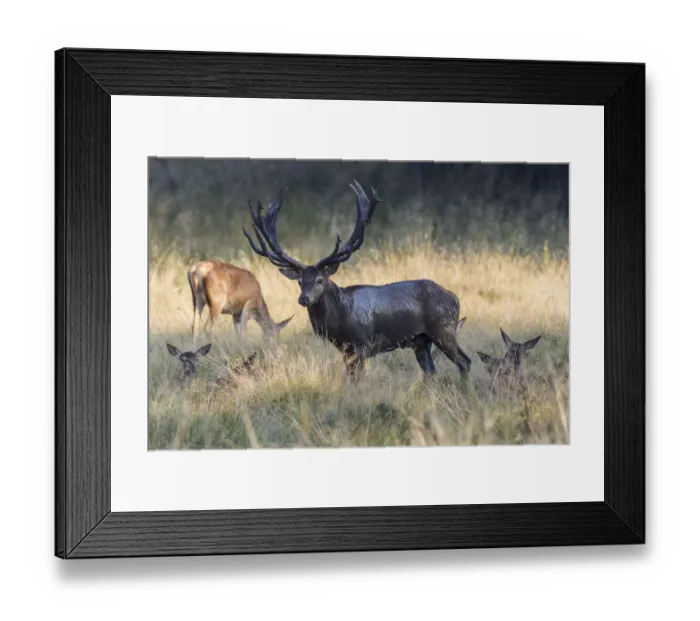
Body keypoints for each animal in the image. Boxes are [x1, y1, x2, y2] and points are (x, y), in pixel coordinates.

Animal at [242, 180, 472, 381]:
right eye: (300, 281)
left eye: (320, 280)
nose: (304, 299)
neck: (339, 321)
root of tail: (455, 298)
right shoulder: (345, 349)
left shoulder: (362, 345)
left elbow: (357, 379)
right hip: (422, 341)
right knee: (431, 372)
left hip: (443, 328)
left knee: (465, 361)